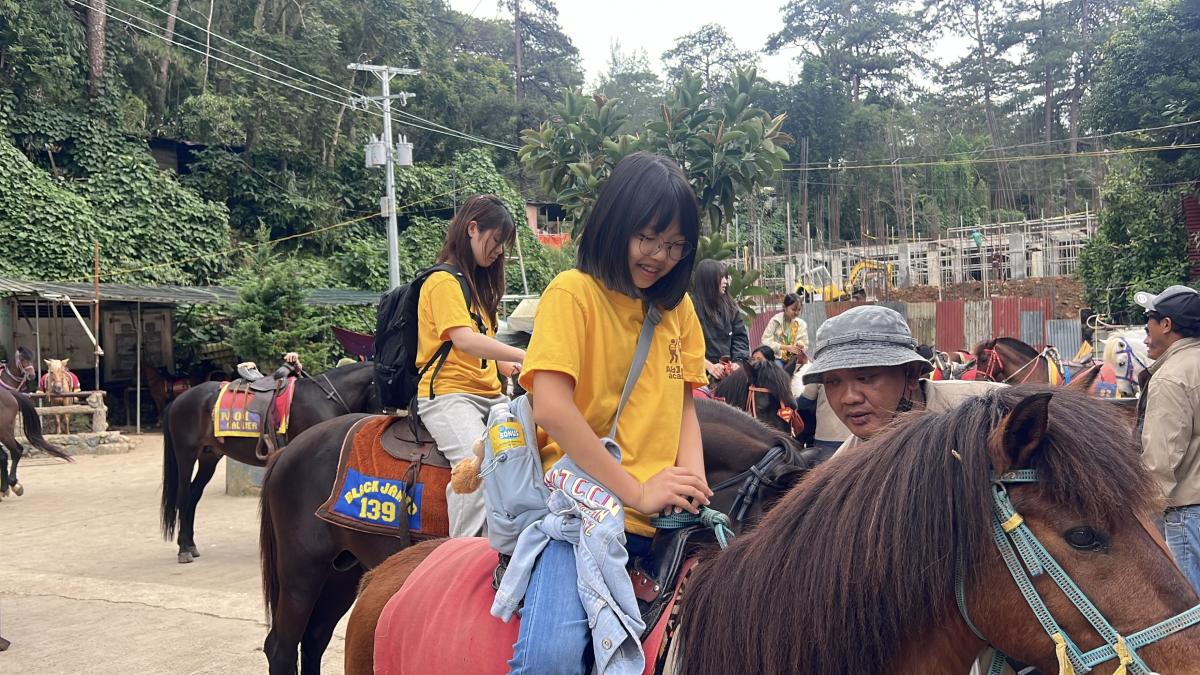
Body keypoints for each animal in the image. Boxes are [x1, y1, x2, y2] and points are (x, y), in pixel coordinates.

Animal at [160, 361, 379, 564]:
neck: (325, 400)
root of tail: (179, 400)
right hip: (186, 455)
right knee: (184, 496)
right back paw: (184, 550)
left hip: (209, 457)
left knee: (194, 496)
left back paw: (190, 544)